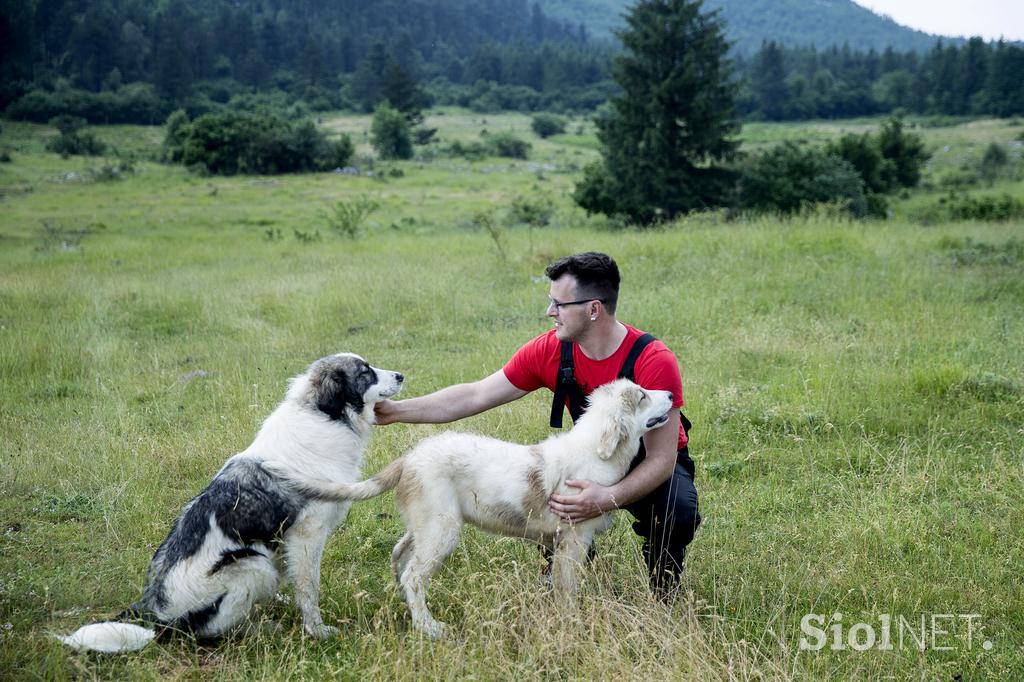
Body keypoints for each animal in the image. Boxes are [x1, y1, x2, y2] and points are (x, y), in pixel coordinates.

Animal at [58, 352, 403, 651]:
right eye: (365, 372)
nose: (401, 375)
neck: (323, 415)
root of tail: (154, 614)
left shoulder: (285, 540)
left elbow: (293, 576)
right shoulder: (307, 535)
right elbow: (309, 590)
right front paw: (316, 630)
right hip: (253, 565)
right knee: (213, 630)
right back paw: (261, 628)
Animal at [280, 376, 675, 638]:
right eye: (642, 396)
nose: (672, 393)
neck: (594, 450)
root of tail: (411, 457)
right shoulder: (573, 539)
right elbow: (568, 585)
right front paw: (571, 619)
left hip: (426, 526)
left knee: (400, 558)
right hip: (442, 531)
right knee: (413, 574)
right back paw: (428, 627)